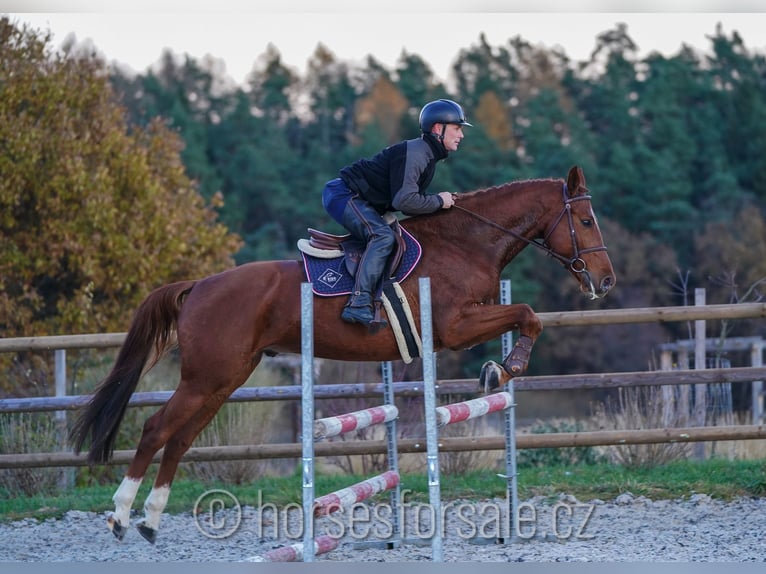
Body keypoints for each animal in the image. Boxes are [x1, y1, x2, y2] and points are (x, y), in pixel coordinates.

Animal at [67, 165, 616, 544]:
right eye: (586, 219)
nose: (606, 281)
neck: (467, 243)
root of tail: (198, 285)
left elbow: (526, 315)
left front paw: (499, 369)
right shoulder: (456, 326)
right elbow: (528, 314)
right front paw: (503, 368)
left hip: (223, 379)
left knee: (180, 439)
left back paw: (151, 520)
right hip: (205, 377)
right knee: (156, 429)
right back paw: (121, 516)